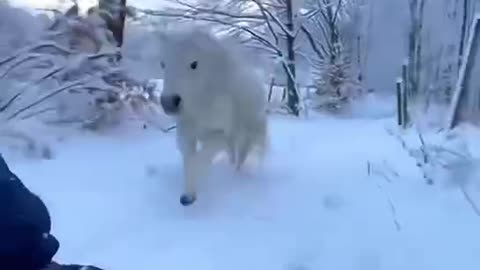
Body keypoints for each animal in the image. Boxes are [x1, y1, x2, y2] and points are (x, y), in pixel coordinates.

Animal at [159, 26, 268, 206]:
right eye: (163, 64)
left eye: (194, 64)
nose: (169, 102)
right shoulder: (186, 132)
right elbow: (189, 158)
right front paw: (188, 194)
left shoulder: (222, 134)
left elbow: (200, 158)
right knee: (233, 156)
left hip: (248, 133)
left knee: (242, 156)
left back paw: (237, 176)